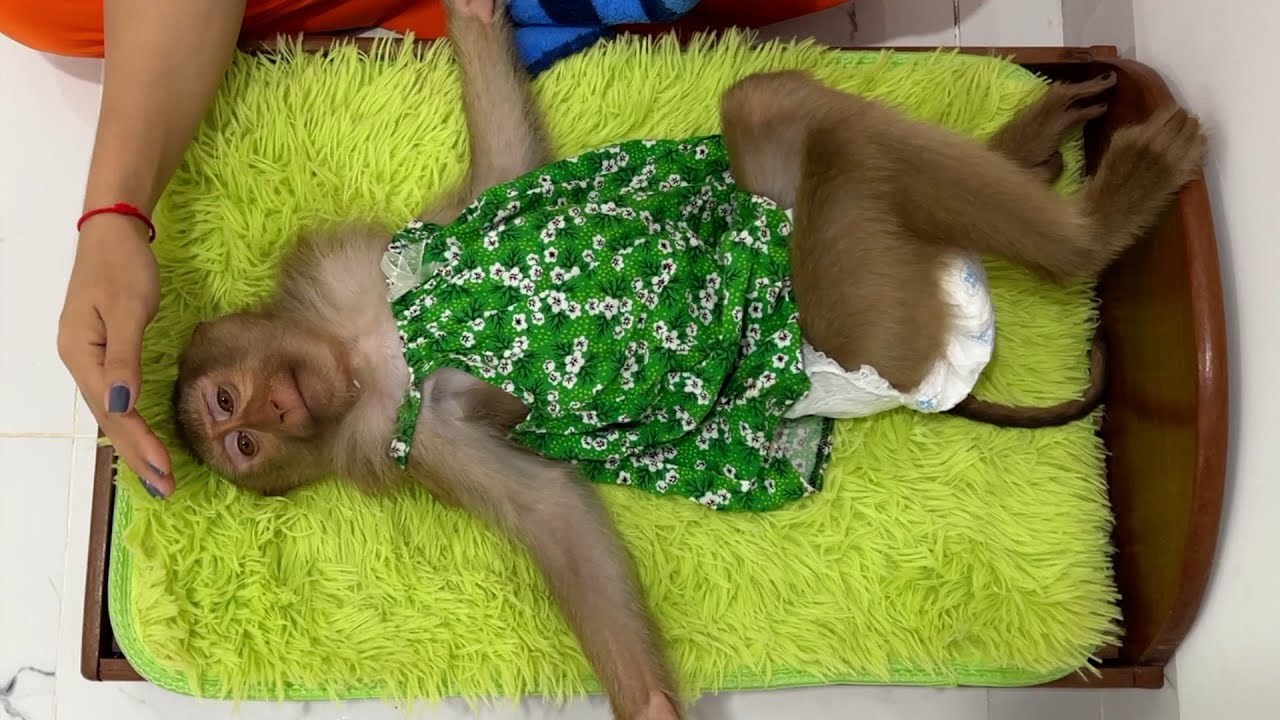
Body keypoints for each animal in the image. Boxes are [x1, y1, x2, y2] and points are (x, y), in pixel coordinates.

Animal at [168, 2, 1207, 716]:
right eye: (240, 441)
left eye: (230, 408)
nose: (266, 413)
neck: (364, 356)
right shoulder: (417, 441)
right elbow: (551, 512)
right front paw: (654, 702)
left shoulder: (368, 264)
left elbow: (505, 167)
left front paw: (472, 15)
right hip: (872, 316)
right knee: (843, 160)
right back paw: (1092, 227)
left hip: (784, 210)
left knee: (774, 103)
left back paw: (1032, 148)